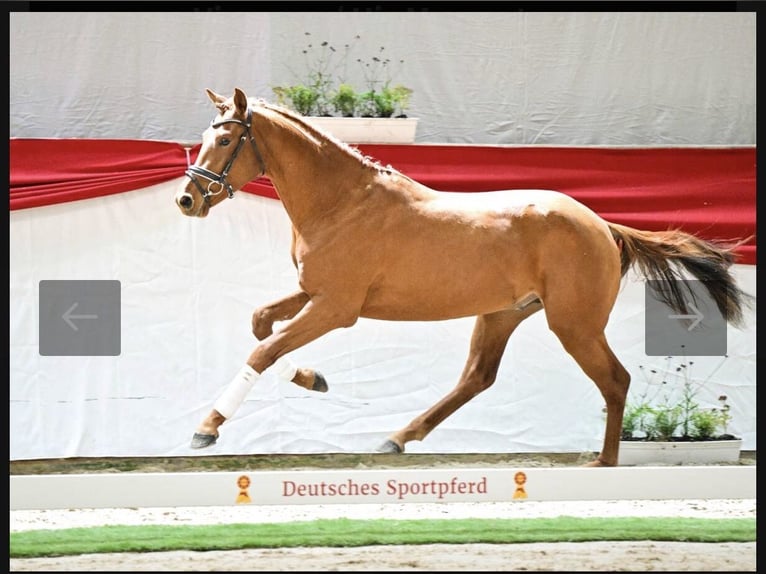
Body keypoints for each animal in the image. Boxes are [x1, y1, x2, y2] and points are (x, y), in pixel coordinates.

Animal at [175, 87, 751, 466]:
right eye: (203, 135)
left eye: (224, 140)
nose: (187, 199)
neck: (342, 202)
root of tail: (602, 225)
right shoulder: (311, 294)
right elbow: (261, 326)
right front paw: (312, 378)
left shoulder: (336, 307)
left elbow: (262, 349)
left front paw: (205, 430)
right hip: (502, 314)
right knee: (478, 376)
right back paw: (397, 437)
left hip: (574, 323)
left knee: (615, 379)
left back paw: (602, 465)